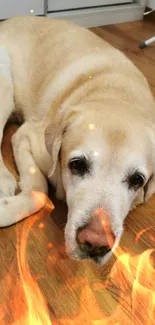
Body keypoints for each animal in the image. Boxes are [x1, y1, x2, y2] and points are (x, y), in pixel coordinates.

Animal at [0, 15, 155, 264]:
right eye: (77, 165)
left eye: (137, 180)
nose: (96, 243)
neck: (115, 96)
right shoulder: (26, 136)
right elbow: (40, 190)